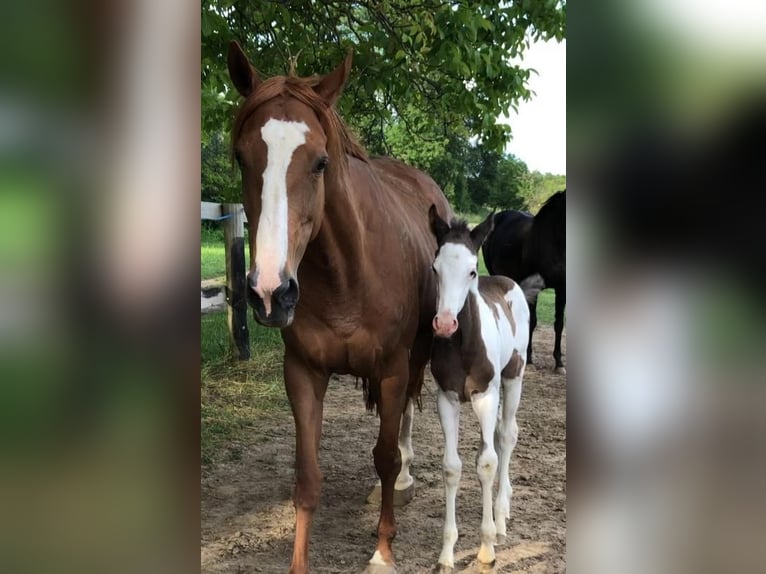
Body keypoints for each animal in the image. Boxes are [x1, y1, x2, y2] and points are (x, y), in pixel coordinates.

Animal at [228, 44, 456, 574]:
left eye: (319, 162)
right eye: (241, 157)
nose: (269, 292)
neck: (347, 277)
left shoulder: (391, 368)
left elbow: (385, 456)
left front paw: (382, 551)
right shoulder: (303, 372)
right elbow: (307, 476)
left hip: (416, 357)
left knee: (405, 420)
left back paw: (406, 480)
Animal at [428, 206, 532, 572]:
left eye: (472, 271)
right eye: (435, 268)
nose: (445, 324)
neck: (463, 345)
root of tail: (507, 280)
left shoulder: (486, 395)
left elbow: (487, 463)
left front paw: (486, 547)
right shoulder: (447, 398)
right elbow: (452, 466)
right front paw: (447, 553)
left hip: (513, 379)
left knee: (506, 436)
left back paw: (500, 518)